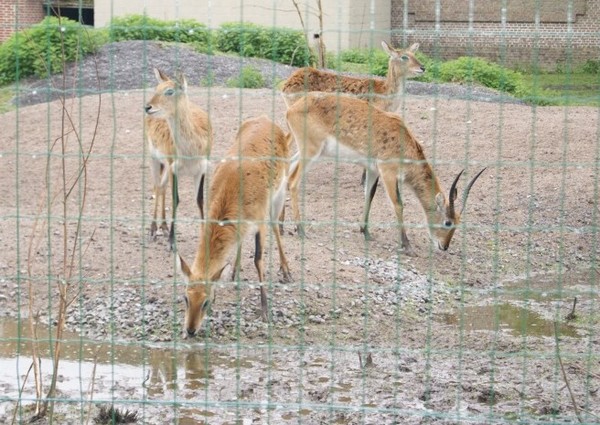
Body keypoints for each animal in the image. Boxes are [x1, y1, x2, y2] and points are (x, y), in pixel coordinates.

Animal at [144, 68, 212, 250]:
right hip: (153, 158)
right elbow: (176, 200)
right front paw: (172, 242)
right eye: (156, 88)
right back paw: (153, 230)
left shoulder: (201, 169)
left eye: (170, 91)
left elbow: (200, 200)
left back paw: (164, 227)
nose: (148, 107)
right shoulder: (174, 167)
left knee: (162, 187)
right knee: (156, 187)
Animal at [177, 114, 292, 336]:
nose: (190, 330)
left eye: (205, 302)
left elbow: (258, 259)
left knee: (277, 225)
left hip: (280, 194)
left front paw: (265, 311)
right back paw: (235, 271)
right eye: (186, 298)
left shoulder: (260, 220)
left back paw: (286, 271)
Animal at [286, 93, 488, 255]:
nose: (444, 246)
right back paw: (300, 229)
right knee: (293, 181)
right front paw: (407, 245)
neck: (406, 143)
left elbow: (369, 195)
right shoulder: (388, 172)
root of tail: (293, 108)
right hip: (311, 152)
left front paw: (366, 232)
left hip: (305, 152)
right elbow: (398, 204)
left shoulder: (373, 170)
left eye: (458, 222)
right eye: (447, 222)